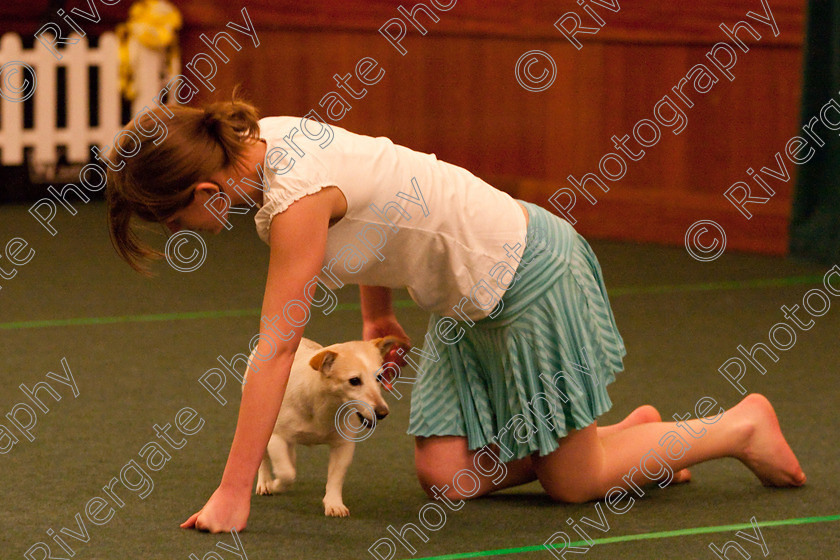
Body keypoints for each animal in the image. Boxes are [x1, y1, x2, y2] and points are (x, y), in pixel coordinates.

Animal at [243, 336, 400, 516]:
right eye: (354, 381)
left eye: (379, 378)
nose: (383, 412)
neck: (324, 404)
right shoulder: (277, 438)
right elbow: (286, 473)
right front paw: (275, 485)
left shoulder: (343, 445)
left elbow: (335, 478)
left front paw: (334, 503)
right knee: (263, 458)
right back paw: (265, 482)